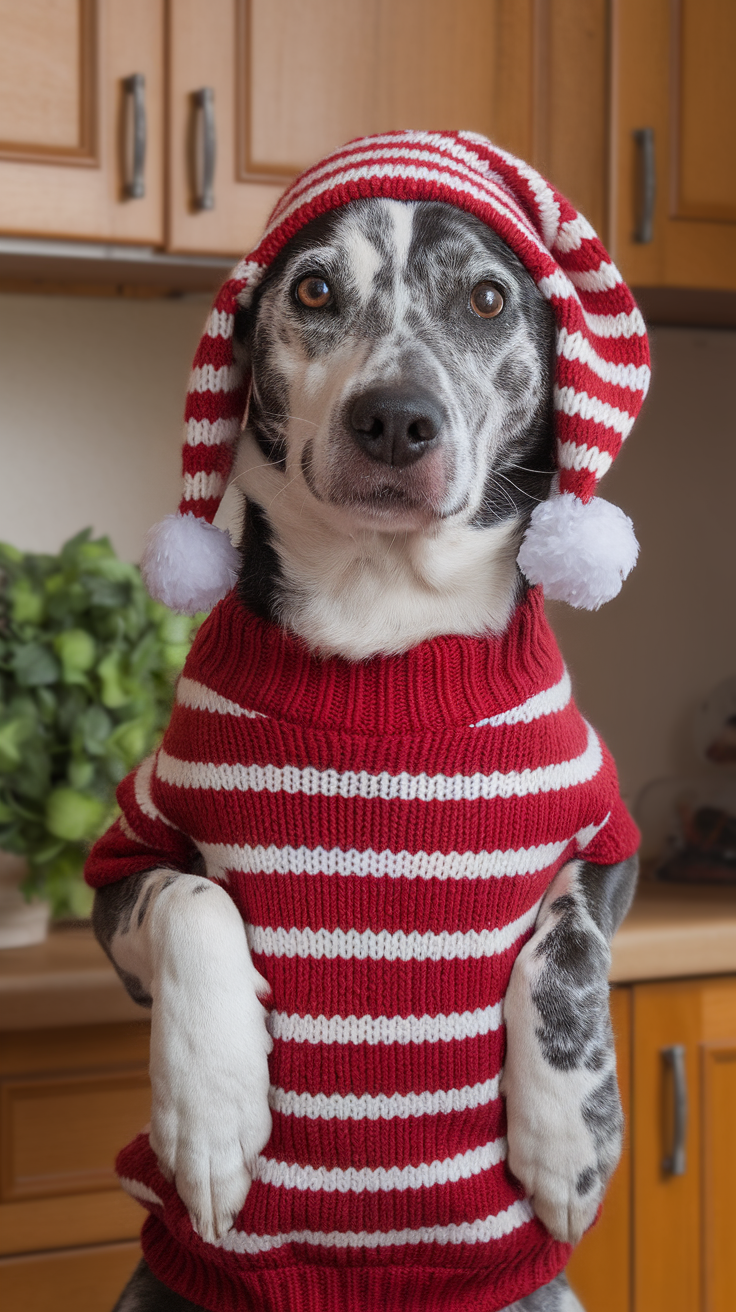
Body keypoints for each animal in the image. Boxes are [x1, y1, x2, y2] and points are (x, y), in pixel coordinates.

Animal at [91, 196, 634, 1312]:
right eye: (312, 289)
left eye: (487, 298)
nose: (394, 418)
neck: (381, 617)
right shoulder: (127, 855)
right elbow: (195, 899)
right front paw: (210, 1115)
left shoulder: (608, 834)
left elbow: (565, 946)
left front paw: (569, 1141)